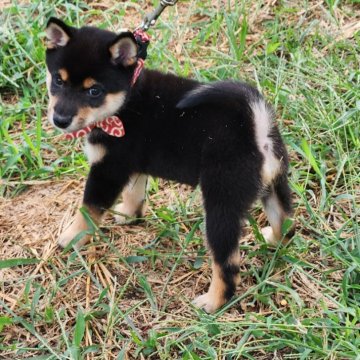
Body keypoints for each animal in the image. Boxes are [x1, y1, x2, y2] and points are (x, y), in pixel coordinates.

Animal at [45, 18, 292, 314]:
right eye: (58, 80)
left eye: (94, 91)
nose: (60, 119)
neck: (127, 100)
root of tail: (257, 126)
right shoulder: (133, 165)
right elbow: (134, 193)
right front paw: (129, 214)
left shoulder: (108, 169)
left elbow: (88, 209)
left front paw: (71, 237)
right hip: (274, 183)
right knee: (285, 221)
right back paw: (273, 240)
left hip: (221, 204)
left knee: (227, 263)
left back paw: (212, 302)